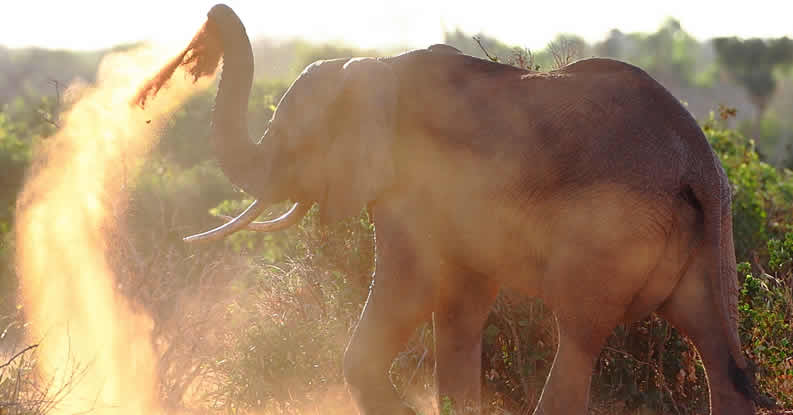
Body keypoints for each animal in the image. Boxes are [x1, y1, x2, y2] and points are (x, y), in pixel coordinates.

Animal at [133, 4, 772, 415]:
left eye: (292, 137)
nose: (211, 20)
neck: (374, 69)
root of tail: (694, 161)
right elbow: (461, 305)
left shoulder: (413, 184)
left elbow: (412, 287)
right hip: (714, 232)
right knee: (719, 349)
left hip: (609, 232)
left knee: (578, 337)